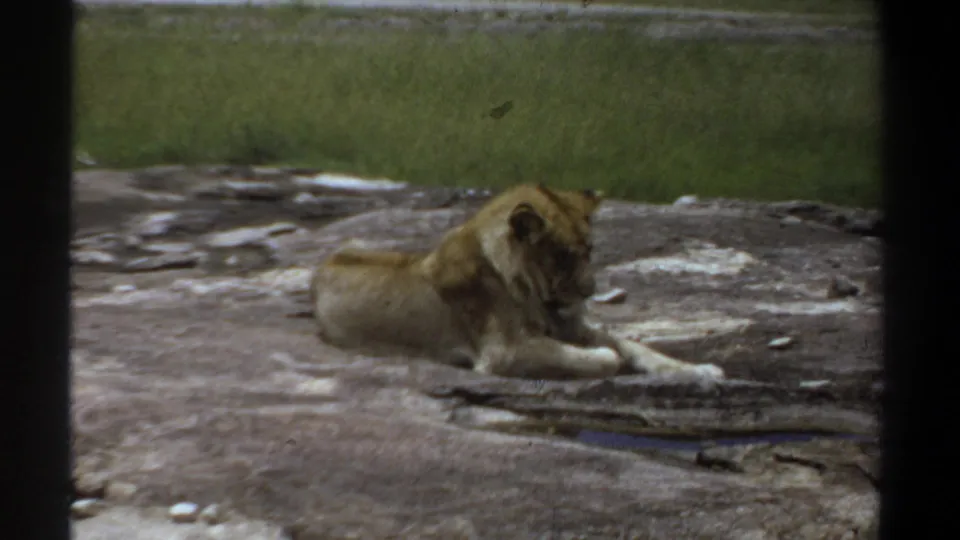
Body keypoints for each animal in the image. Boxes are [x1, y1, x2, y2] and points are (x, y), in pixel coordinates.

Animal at [309, 183, 725, 381]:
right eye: (563, 256)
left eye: (589, 250)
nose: (589, 291)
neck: (533, 289)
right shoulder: (504, 351)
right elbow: (587, 355)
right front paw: (608, 358)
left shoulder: (570, 324)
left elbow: (638, 347)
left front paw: (701, 371)